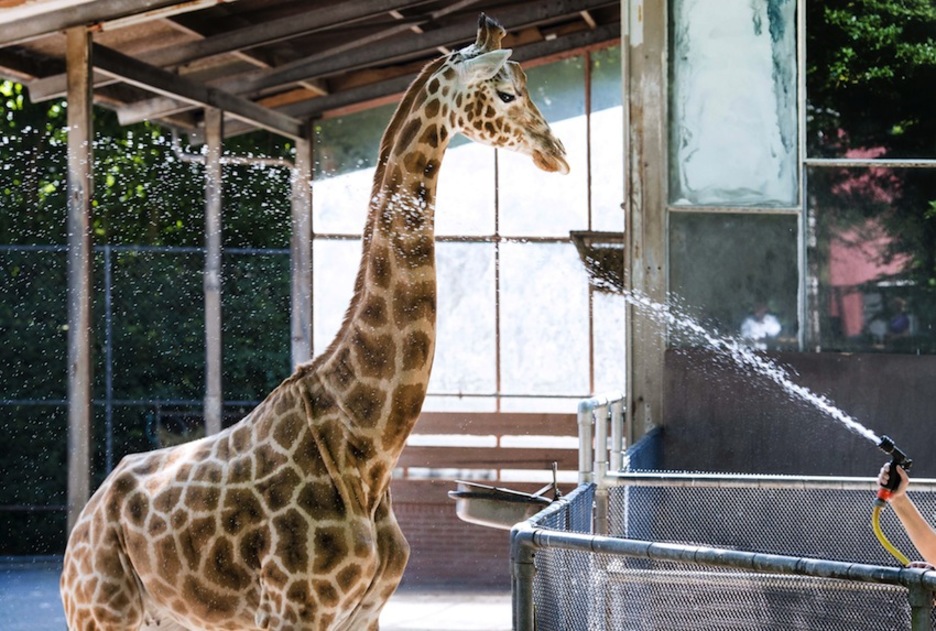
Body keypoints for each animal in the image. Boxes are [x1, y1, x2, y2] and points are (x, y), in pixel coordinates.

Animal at [60, 14, 572, 631]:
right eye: (506, 93)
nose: (557, 152)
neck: (368, 447)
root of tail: (85, 519)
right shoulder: (294, 609)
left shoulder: (365, 612)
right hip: (100, 612)